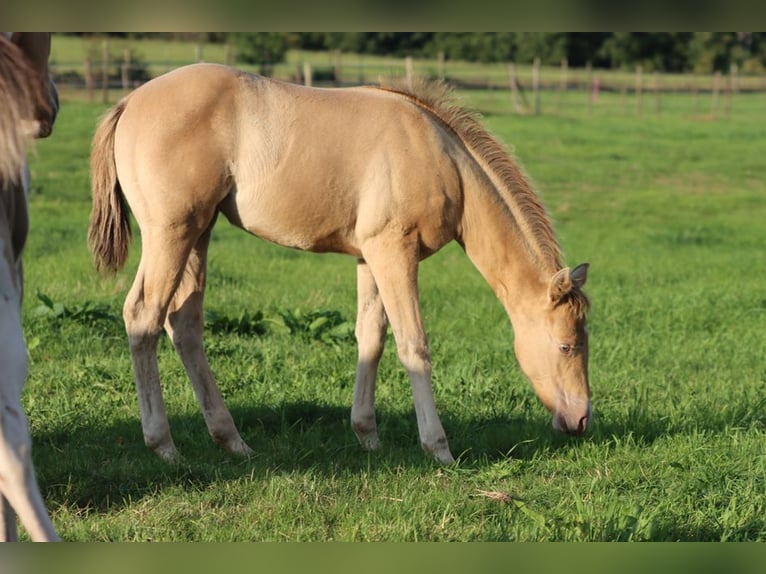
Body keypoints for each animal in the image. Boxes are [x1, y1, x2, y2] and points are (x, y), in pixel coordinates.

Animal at [89, 63, 590, 465]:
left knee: (185, 323)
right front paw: (439, 448)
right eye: (567, 345)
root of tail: (129, 102)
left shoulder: (370, 257)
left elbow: (372, 338)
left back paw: (233, 442)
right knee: (143, 317)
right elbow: (414, 345)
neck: (444, 160)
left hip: (200, 232)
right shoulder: (395, 252)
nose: (582, 419)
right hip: (171, 233)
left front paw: (368, 435)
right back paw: (164, 446)